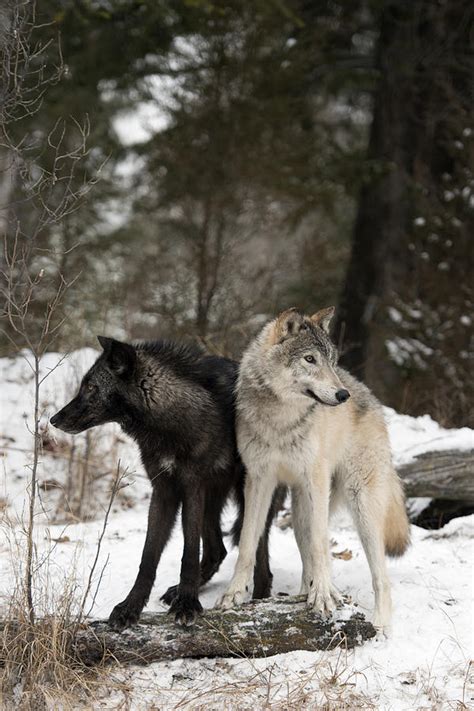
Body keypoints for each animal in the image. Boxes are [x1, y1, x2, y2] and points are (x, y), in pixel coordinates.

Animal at [51, 338, 286, 628]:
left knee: (258, 555)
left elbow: (189, 552)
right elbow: (148, 556)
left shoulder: (192, 487)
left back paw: (259, 600)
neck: (168, 421)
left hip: (249, 496)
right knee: (216, 550)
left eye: (91, 388)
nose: (54, 420)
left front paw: (187, 604)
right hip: (213, 498)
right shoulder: (163, 490)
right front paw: (130, 607)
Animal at [220, 308, 410, 632]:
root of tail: (368, 395)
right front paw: (234, 594)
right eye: (310, 359)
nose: (342, 395)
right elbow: (247, 543)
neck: (281, 420)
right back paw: (306, 593)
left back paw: (378, 625)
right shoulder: (258, 480)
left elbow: (322, 545)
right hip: (299, 512)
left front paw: (322, 597)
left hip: (359, 505)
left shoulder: (316, 479)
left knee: (379, 576)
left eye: (331, 361)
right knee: (307, 554)